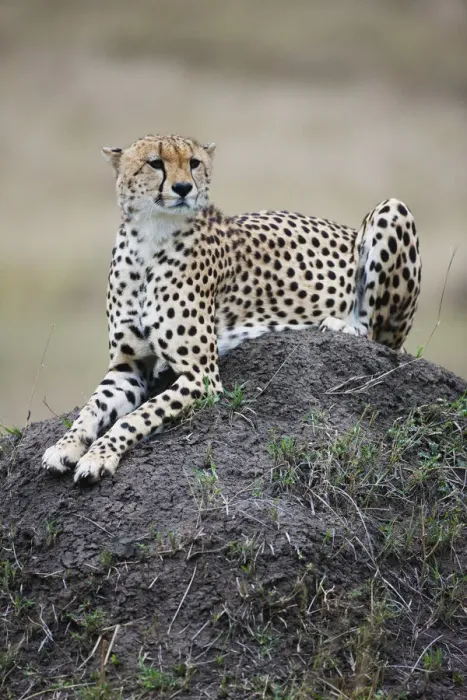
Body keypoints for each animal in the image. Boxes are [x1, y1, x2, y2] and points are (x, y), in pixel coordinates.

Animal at [42, 134, 421, 483]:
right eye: (155, 163)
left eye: (194, 163)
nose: (183, 188)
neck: (149, 238)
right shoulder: (127, 367)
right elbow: (91, 409)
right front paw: (65, 446)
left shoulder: (201, 376)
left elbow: (137, 416)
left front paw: (99, 455)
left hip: (393, 209)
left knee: (376, 335)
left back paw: (342, 325)